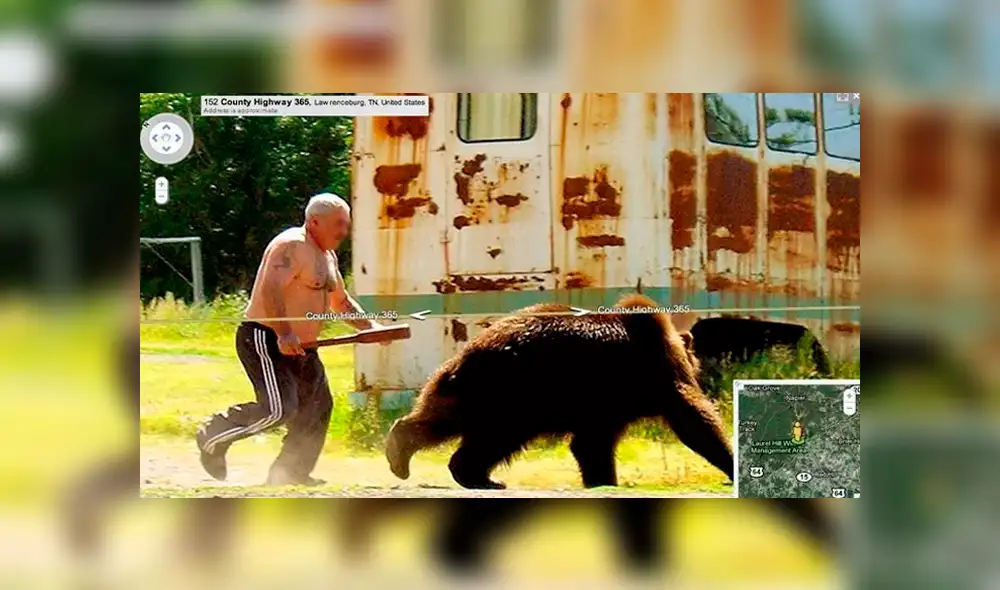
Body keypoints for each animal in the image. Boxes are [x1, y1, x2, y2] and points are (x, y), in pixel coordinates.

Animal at [385, 294, 733, 490]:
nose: (701, 365)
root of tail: (468, 353)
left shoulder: (605, 404)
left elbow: (590, 444)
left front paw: (600, 478)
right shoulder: (645, 376)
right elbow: (692, 418)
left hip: (471, 389)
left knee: (442, 419)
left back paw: (407, 455)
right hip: (514, 392)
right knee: (497, 438)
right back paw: (479, 476)